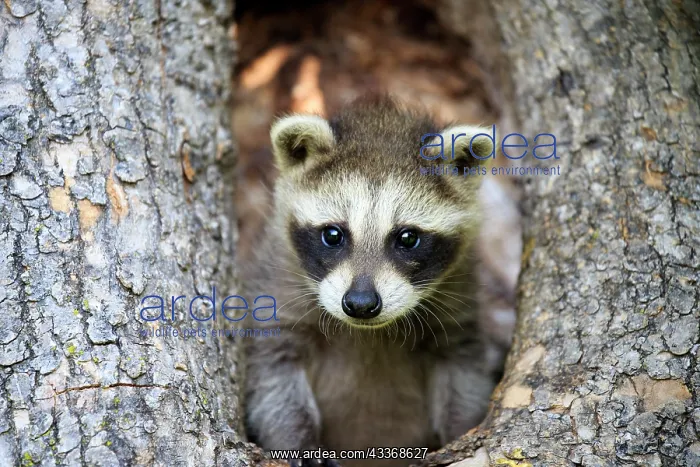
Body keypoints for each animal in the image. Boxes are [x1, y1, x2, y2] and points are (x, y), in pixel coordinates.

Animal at [242, 96, 511, 467]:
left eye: (407, 237)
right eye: (333, 234)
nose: (360, 304)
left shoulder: (457, 303)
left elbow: (462, 376)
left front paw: (459, 433)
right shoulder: (277, 292)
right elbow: (275, 379)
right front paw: (298, 441)